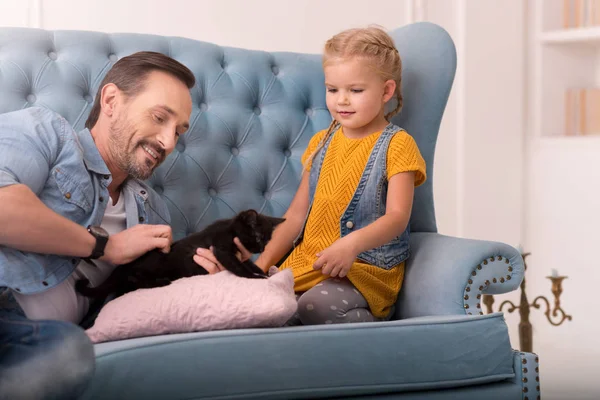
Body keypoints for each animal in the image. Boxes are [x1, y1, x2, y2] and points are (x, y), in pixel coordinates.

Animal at [75, 209, 286, 300]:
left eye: (267, 240)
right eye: (257, 236)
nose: (262, 249)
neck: (231, 229)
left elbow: (250, 263)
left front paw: (263, 272)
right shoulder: (221, 249)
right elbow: (239, 267)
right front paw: (255, 277)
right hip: (156, 262)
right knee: (135, 278)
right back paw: (161, 282)